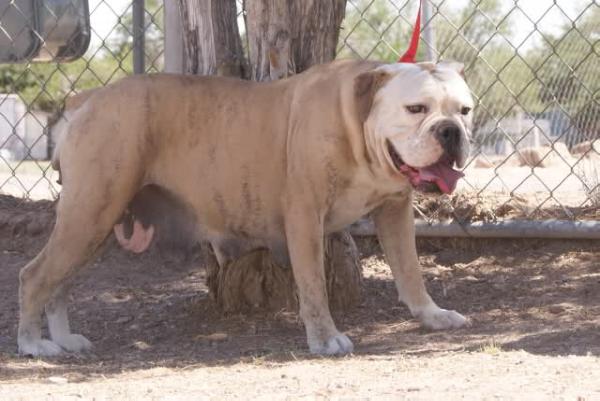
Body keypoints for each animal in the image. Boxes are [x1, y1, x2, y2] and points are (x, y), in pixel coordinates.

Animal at [17, 57, 474, 354]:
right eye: (415, 109)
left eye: (466, 110)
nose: (450, 131)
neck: (357, 124)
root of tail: (87, 98)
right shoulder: (304, 217)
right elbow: (314, 287)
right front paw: (325, 338)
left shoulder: (395, 210)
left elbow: (410, 271)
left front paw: (432, 315)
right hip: (89, 215)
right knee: (34, 275)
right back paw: (35, 345)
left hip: (96, 223)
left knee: (58, 283)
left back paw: (63, 339)